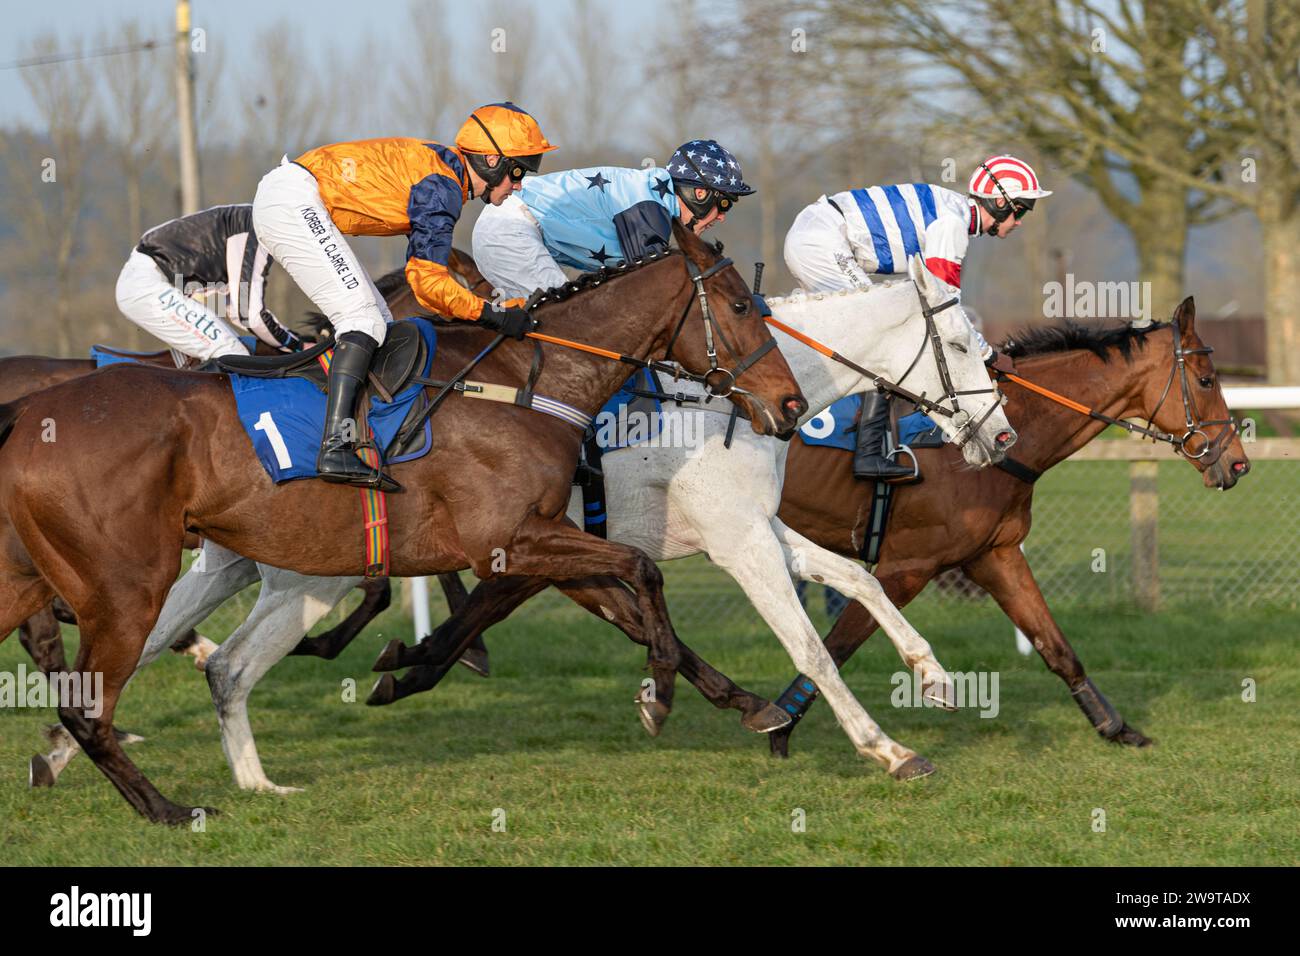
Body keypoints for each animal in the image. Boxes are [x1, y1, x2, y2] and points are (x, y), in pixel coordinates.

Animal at [0, 222, 806, 822]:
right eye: (741, 307)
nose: (792, 404)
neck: (524, 383)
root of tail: (31, 412)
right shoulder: (508, 543)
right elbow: (639, 576)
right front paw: (660, 696)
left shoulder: (541, 543)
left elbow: (631, 602)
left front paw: (752, 705)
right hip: (125, 583)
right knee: (90, 701)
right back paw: (167, 808)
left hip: (37, 575)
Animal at [764, 299, 1253, 754]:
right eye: (1207, 380)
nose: (1237, 463)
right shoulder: (907, 566)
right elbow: (838, 644)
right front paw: (779, 723)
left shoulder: (993, 555)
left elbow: (1056, 647)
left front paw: (1116, 726)